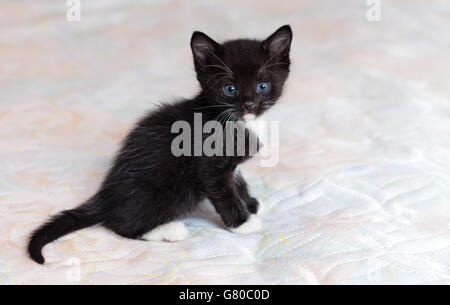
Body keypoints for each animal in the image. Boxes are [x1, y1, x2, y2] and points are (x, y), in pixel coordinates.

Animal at [28, 25, 292, 262]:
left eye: (262, 86)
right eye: (230, 89)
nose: (249, 105)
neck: (237, 122)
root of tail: (105, 196)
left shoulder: (231, 166)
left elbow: (237, 181)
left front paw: (251, 203)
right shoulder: (209, 166)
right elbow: (225, 194)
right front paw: (244, 223)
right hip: (173, 190)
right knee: (120, 224)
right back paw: (167, 230)